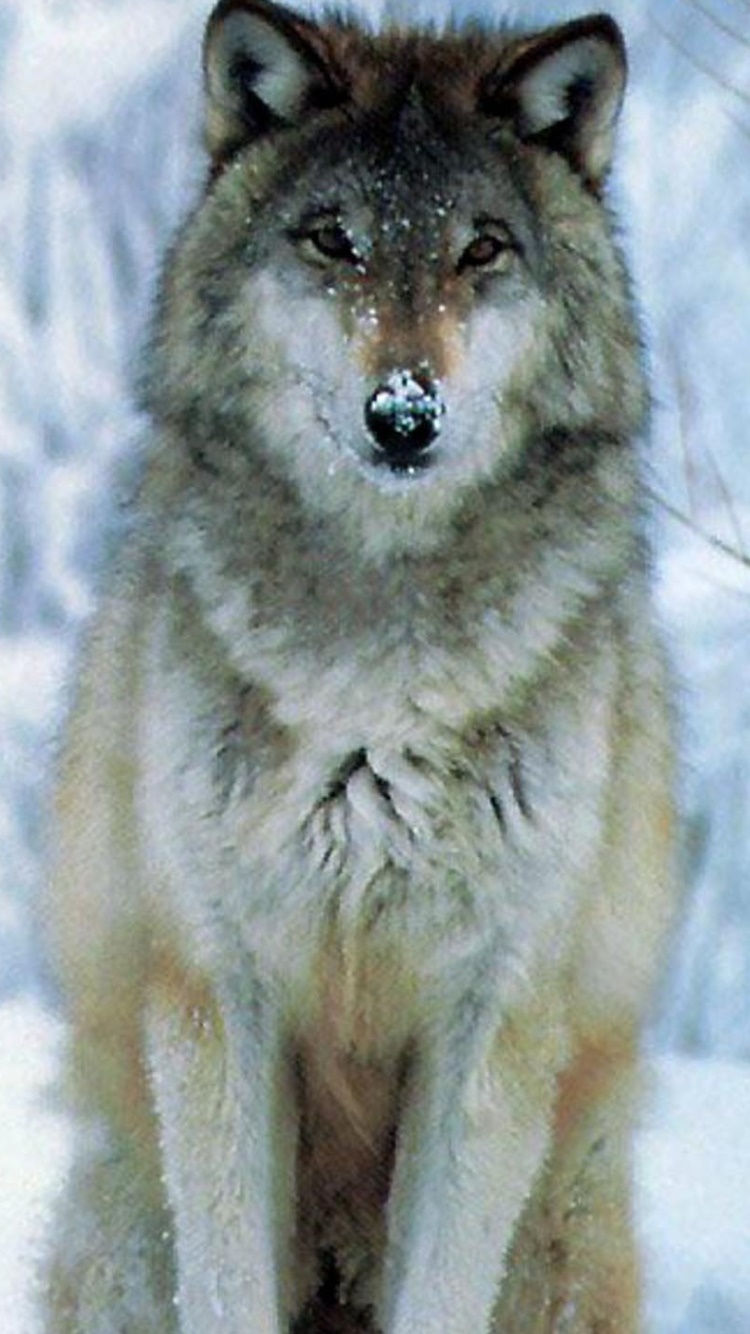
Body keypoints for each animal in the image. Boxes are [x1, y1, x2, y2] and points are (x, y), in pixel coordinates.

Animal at [41, 2, 678, 1331]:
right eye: (335, 240)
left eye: (481, 250)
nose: (404, 415)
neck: (376, 688)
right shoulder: (217, 992)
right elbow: (228, 1282)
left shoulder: (491, 1018)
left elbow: (440, 1283)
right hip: (124, 1212)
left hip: (564, 1232)